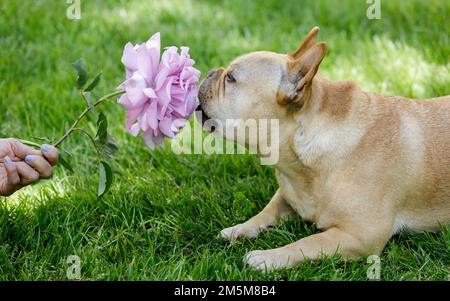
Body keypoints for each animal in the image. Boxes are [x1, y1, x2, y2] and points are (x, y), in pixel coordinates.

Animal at [198, 26, 450, 270]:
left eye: (230, 78)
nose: (210, 72)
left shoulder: (361, 237)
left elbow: (308, 242)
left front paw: (267, 257)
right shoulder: (288, 195)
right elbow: (267, 211)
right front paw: (239, 229)